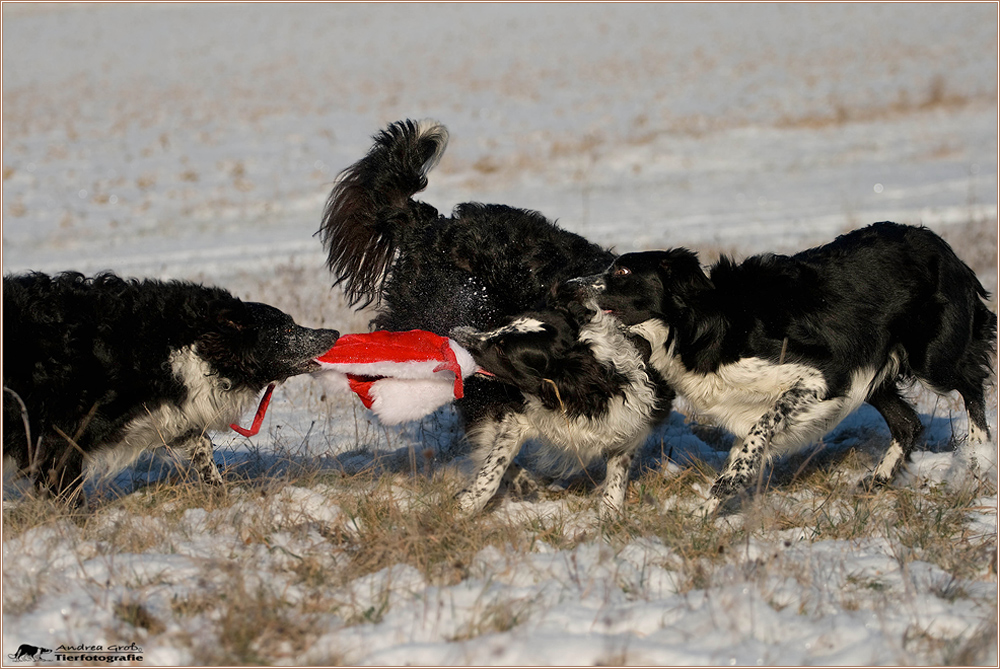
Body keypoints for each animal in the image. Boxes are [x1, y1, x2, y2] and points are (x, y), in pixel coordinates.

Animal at [2, 270, 340, 496]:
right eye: (287, 329)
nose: (334, 333)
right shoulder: (58, 435)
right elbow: (64, 484)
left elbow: (202, 447)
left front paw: (217, 491)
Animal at [576, 220, 996, 512]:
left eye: (623, 273)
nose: (571, 284)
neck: (700, 321)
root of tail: (938, 243)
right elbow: (744, 448)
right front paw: (706, 512)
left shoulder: (820, 376)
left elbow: (757, 434)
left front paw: (712, 504)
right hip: (876, 375)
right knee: (908, 423)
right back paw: (876, 481)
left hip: (931, 358)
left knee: (971, 384)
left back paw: (978, 455)